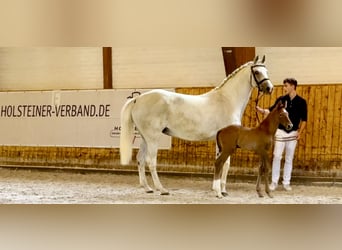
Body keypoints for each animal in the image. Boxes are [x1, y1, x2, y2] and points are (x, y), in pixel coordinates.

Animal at [120, 55, 272, 196]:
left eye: (266, 71)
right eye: (257, 71)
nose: (269, 88)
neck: (227, 101)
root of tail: (137, 99)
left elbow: (220, 162)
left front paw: (216, 189)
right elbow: (227, 164)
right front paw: (222, 191)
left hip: (145, 138)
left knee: (140, 159)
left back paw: (147, 188)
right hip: (152, 138)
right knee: (150, 161)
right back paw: (162, 189)